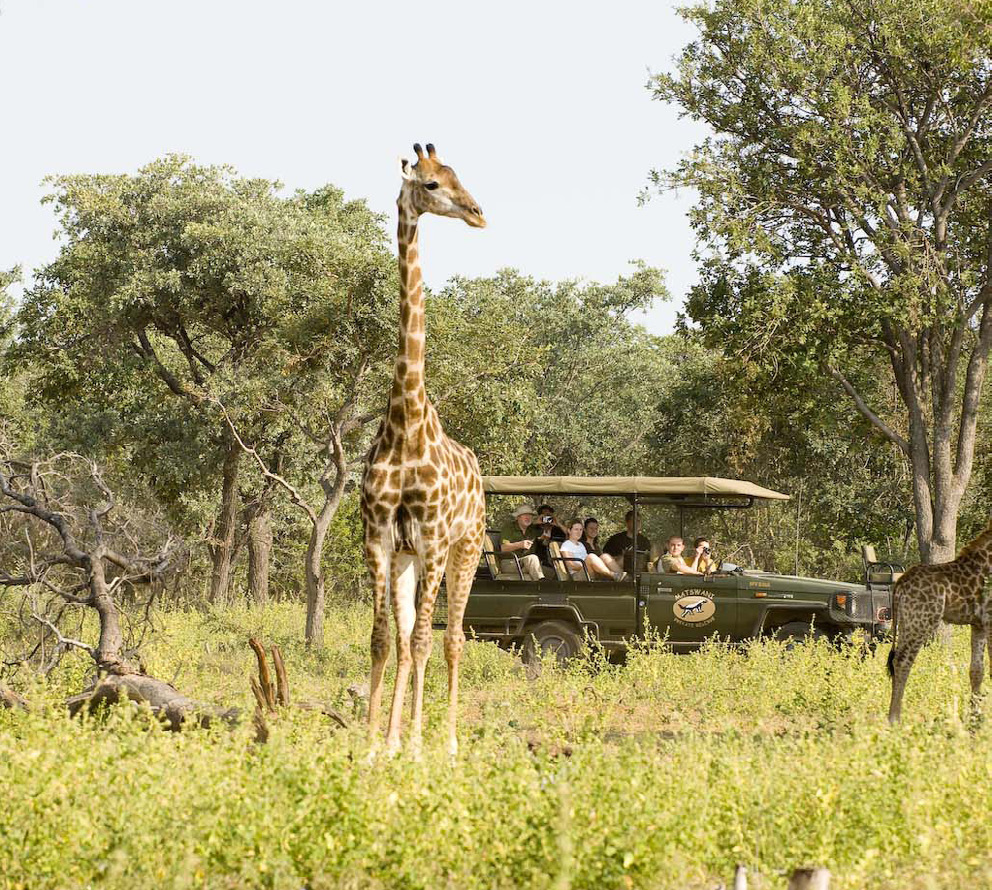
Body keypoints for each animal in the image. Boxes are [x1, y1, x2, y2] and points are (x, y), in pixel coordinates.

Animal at [888, 516, 992, 720]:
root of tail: (900, 583)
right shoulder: (990, 620)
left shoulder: (979, 624)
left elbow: (977, 670)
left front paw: (974, 717)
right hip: (921, 621)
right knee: (902, 661)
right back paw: (895, 719)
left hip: (907, 622)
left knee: (897, 660)